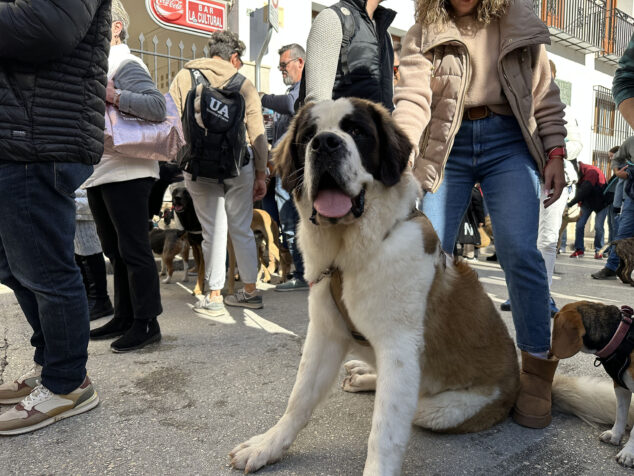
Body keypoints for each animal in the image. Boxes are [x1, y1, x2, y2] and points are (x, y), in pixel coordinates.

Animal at [227, 98, 520, 474]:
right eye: (307, 136)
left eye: (357, 132)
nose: (325, 143)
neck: (351, 253)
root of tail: (517, 382)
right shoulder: (325, 334)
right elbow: (299, 397)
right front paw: (268, 445)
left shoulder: (398, 349)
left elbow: (384, 432)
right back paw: (362, 373)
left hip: (437, 410)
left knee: (413, 403)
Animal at [548, 304, 632, 466]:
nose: (548, 354)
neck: (618, 336)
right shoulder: (620, 387)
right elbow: (620, 414)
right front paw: (615, 435)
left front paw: (628, 453)